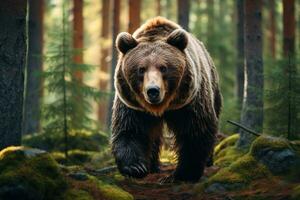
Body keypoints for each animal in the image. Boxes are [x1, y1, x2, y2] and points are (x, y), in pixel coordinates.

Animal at [111, 17, 221, 183]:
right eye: (141, 69)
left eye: (163, 67)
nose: (153, 91)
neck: (162, 107)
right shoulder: (132, 104)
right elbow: (130, 129)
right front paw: (135, 167)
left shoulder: (190, 101)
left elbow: (196, 129)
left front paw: (184, 173)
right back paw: (152, 166)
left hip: (213, 87)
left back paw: (209, 161)